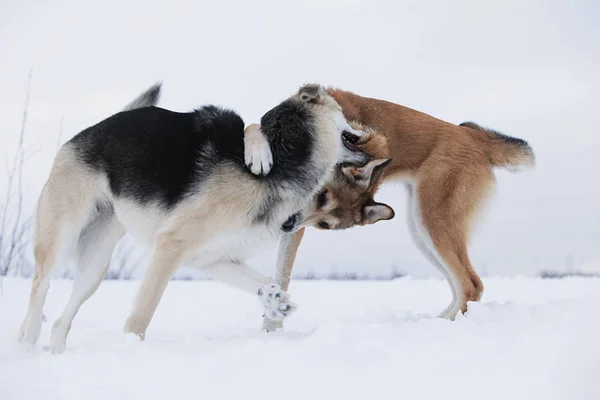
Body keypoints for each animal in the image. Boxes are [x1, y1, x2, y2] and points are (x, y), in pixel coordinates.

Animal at [18, 83, 368, 352]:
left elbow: (262, 282)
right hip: (62, 236)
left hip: (95, 264)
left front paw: (275, 301)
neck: (287, 155)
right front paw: (131, 348)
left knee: (62, 319)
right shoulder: (172, 246)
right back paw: (28, 339)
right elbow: (142, 314)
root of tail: (89, 131)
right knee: (40, 283)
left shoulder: (212, 257)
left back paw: (55, 352)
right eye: (344, 114)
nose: (367, 133)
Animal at [260, 87, 532, 332]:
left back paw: (444, 325)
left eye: (324, 223)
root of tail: (476, 138)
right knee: (459, 285)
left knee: (471, 285)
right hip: (421, 231)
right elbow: (280, 277)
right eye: (322, 195)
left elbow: (282, 275)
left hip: (433, 221)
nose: (286, 223)